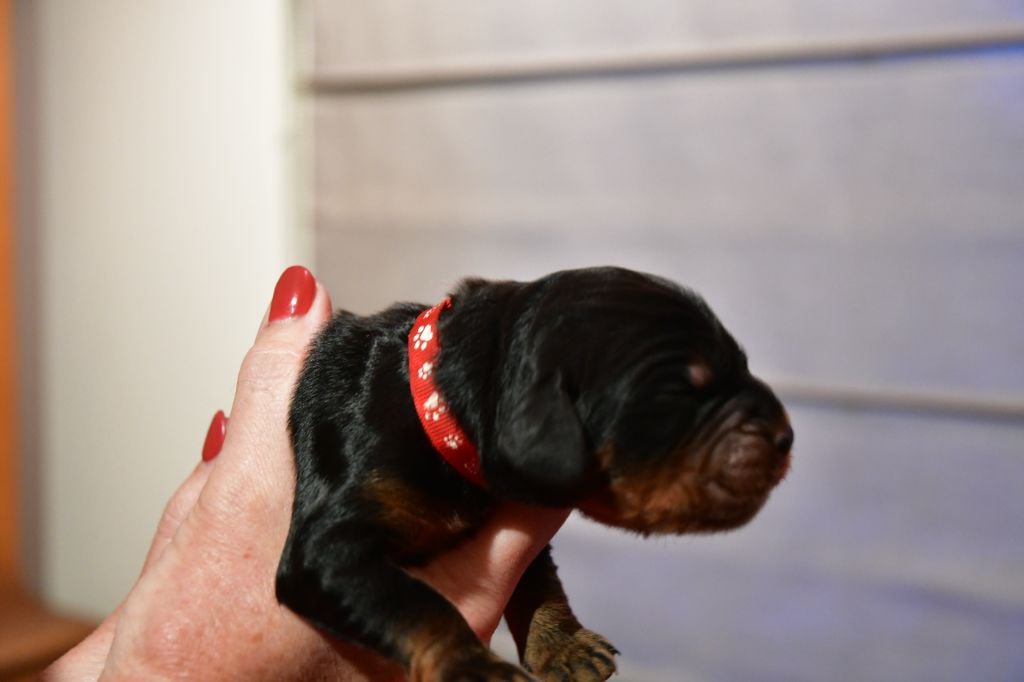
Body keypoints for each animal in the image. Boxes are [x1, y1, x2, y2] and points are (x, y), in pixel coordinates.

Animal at [276, 266, 793, 681]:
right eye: (684, 393)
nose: (787, 436)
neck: (434, 403)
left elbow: (538, 577)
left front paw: (563, 646)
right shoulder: (330, 545)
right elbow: (413, 600)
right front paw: (474, 668)